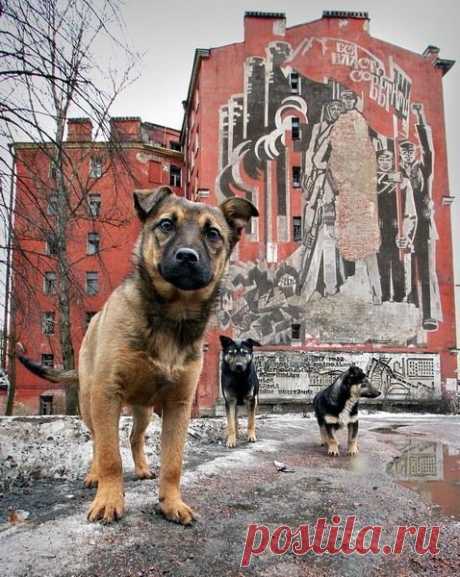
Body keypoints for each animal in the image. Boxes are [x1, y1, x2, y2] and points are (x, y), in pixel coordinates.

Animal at [18, 187, 258, 524]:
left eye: (212, 233)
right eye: (166, 224)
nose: (187, 256)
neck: (171, 315)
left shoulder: (179, 404)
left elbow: (173, 462)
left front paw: (171, 503)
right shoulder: (107, 394)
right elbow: (110, 456)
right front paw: (108, 499)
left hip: (143, 409)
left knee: (135, 437)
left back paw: (143, 468)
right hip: (90, 402)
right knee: (97, 440)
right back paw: (94, 476)